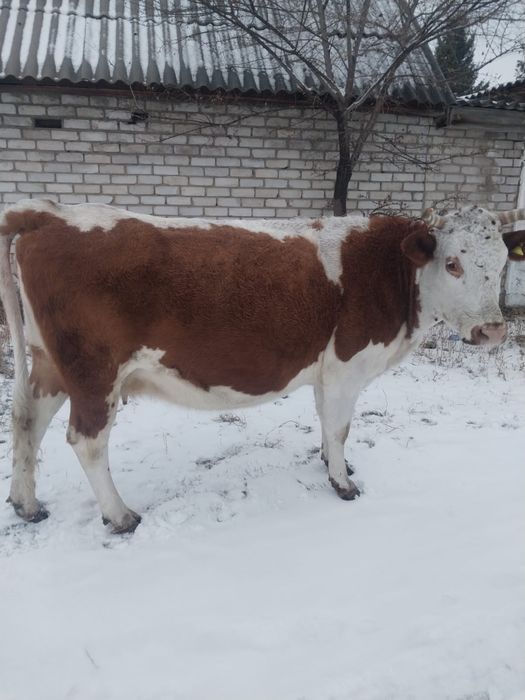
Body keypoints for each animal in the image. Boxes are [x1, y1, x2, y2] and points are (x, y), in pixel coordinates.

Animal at [0, 199, 524, 533]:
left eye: (501, 260)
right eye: (453, 263)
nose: (494, 331)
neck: (389, 270)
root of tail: (49, 214)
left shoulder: (324, 369)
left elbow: (326, 422)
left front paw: (330, 463)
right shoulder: (346, 366)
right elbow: (340, 426)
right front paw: (343, 484)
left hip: (50, 365)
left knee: (27, 421)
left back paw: (27, 505)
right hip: (94, 372)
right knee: (86, 440)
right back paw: (120, 516)